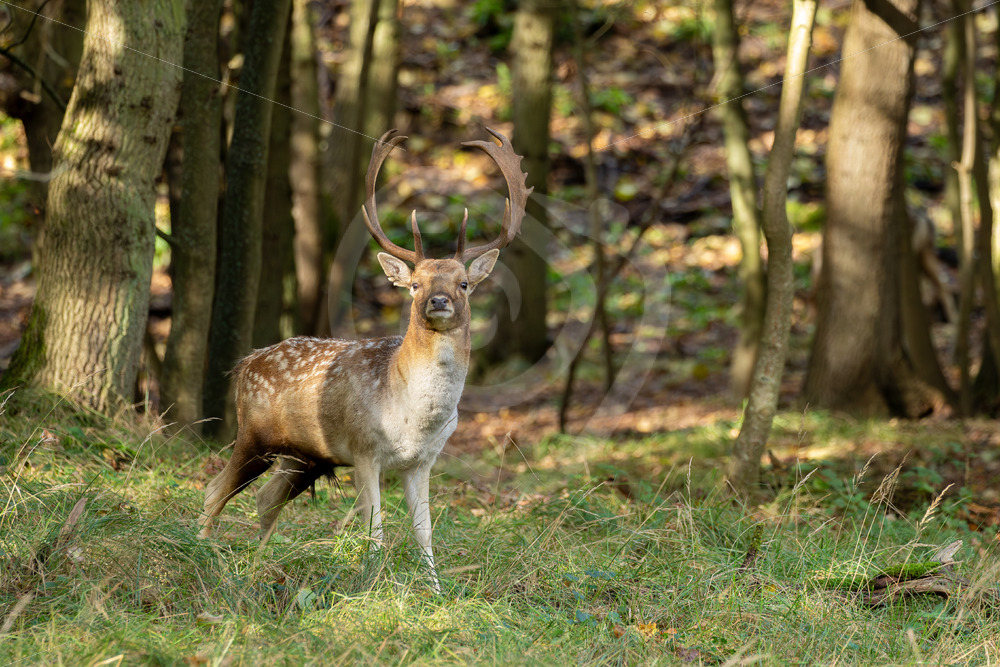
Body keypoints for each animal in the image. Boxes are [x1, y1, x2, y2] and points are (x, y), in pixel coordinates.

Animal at [197, 128, 530, 593]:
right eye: (415, 283)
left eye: (464, 283)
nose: (439, 300)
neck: (412, 415)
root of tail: (245, 363)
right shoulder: (364, 449)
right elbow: (375, 529)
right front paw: (372, 584)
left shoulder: (423, 462)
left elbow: (424, 531)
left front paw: (437, 591)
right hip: (255, 434)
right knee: (214, 491)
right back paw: (202, 555)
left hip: (305, 456)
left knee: (265, 499)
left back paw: (257, 566)